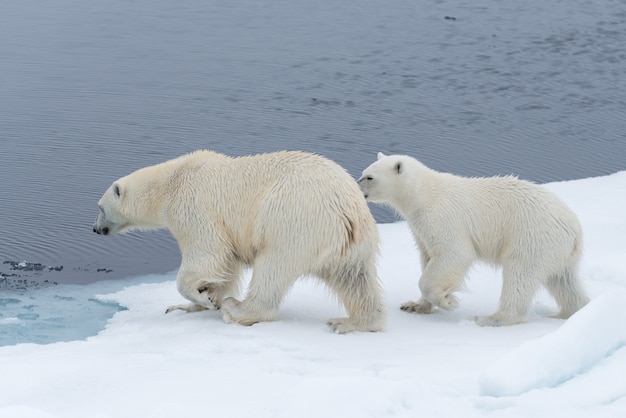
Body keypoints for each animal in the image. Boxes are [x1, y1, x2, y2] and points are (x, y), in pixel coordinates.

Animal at [92, 150, 386, 334]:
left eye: (99, 208)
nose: (95, 229)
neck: (172, 182)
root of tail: (347, 209)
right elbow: (226, 266)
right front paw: (192, 303)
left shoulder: (194, 207)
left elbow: (208, 253)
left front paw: (205, 299)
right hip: (353, 242)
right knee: (355, 278)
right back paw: (353, 322)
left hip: (292, 220)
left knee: (273, 267)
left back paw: (238, 309)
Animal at [358, 153, 588, 326]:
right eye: (363, 174)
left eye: (369, 177)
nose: (358, 187)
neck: (423, 194)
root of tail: (574, 229)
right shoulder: (419, 228)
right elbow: (427, 258)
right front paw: (414, 305)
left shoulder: (442, 217)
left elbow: (455, 253)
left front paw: (449, 302)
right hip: (558, 250)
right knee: (564, 281)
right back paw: (569, 311)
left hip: (531, 237)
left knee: (519, 275)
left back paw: (491, 319)